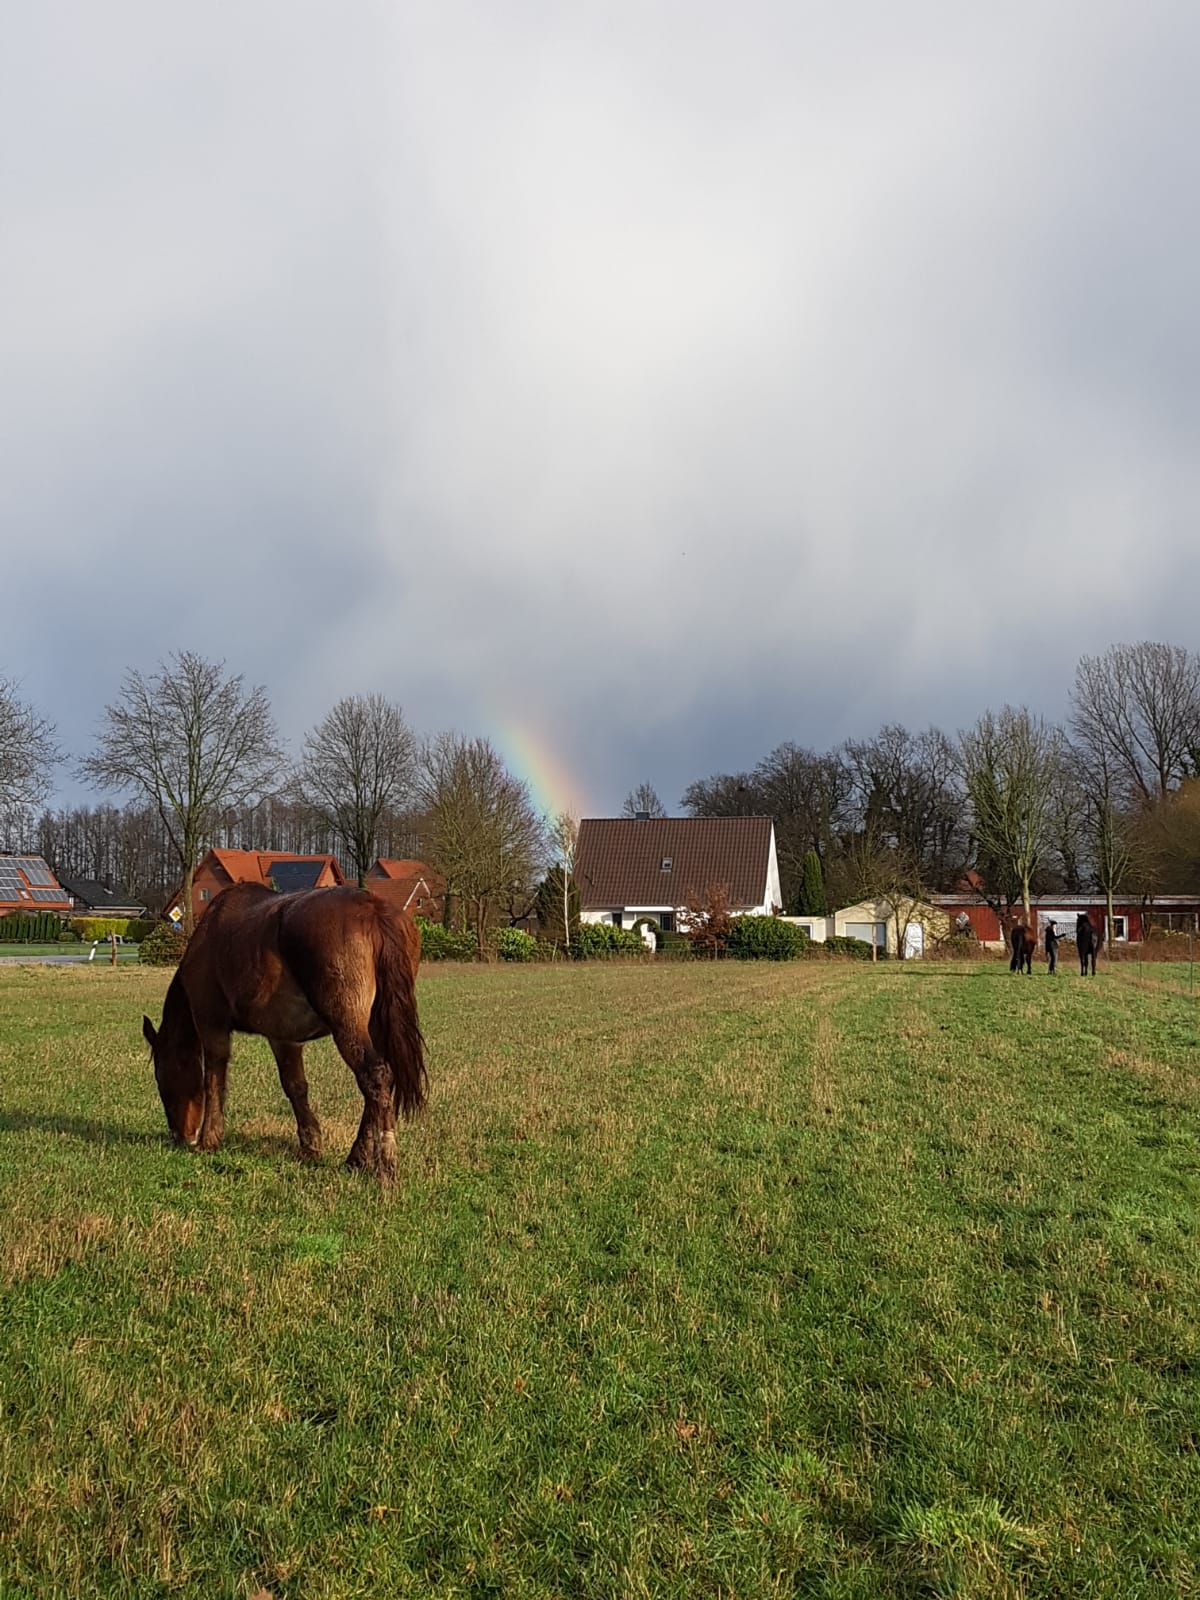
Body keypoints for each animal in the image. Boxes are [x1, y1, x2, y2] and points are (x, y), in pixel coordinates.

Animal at [142, 883, 426, 1180]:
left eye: (161, 1078)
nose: (179, 1136)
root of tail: (372, 909)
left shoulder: (212, 1026)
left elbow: (213, 1081)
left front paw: (209, 1139)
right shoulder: (283, 1037)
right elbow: (295, 1086)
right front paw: (310, 1145)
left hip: (348, 1026)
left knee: (375, 1076)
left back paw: (385, 1162)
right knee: (380, 1082)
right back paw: (357, 1158)